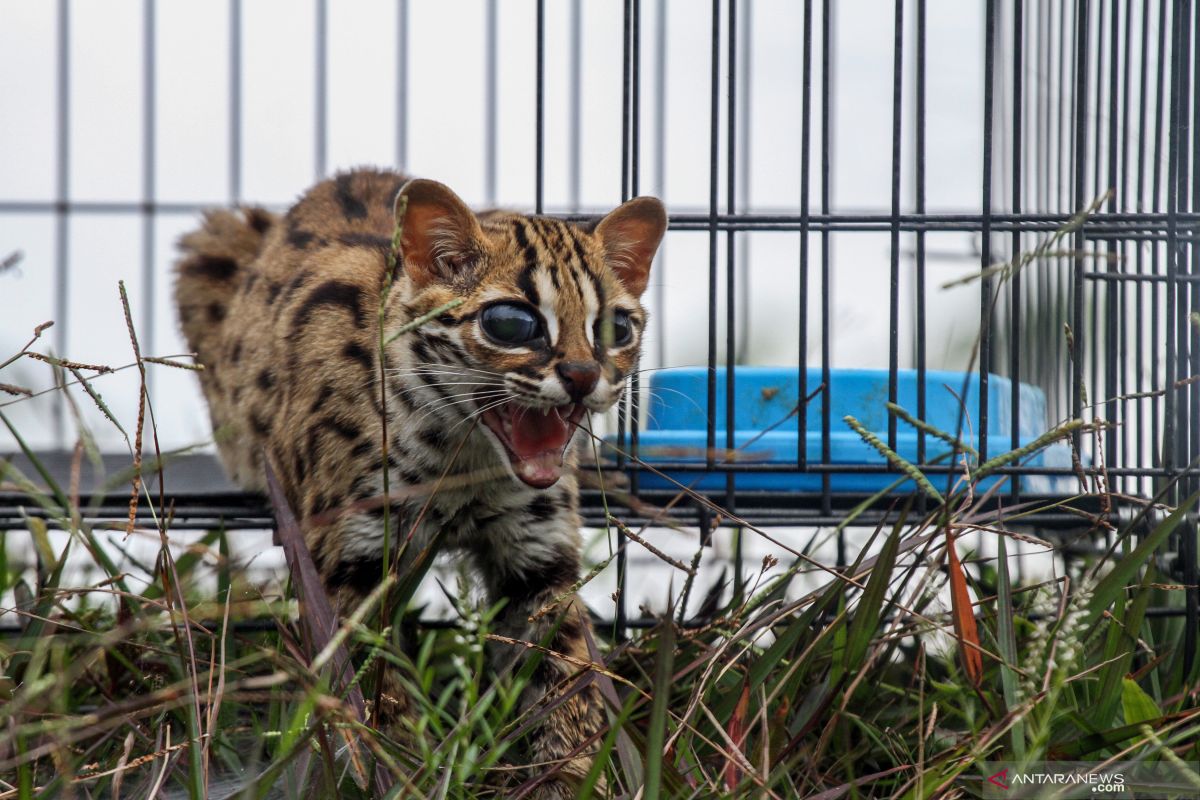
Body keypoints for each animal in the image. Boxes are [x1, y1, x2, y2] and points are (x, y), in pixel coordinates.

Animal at [174, 165, 667, 796]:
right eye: (511, 324)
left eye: (616, 326)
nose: (583, 375)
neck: (461, 457)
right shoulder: (350, 557)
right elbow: (368, 686)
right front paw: (398, 770)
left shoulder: (541, 556)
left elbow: (566, 673)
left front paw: (572, 777)